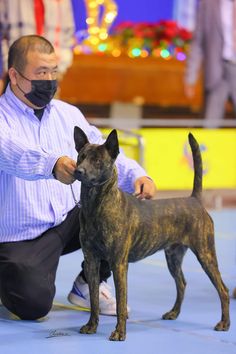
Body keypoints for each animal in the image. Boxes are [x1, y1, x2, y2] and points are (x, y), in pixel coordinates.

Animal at [73, 126, 229, 340]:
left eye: (97, 161)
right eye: (80, 157)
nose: (78, 171)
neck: (97, 205)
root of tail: (195, 200)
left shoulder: (119, 264)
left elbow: (121, 302)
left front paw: (119, 332)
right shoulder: (91, 261)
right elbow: (94, 300)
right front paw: (91, 325)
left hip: (205, 254)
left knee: (223, 289)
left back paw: (224, 323)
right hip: (173, 256)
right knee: (182, 283)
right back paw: (173, 313)